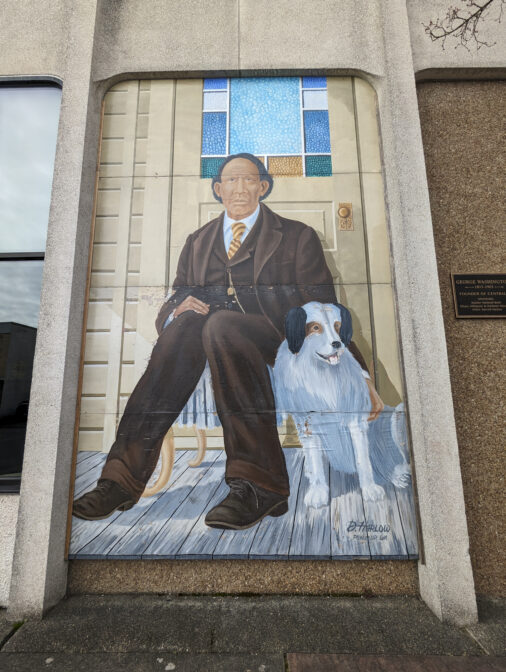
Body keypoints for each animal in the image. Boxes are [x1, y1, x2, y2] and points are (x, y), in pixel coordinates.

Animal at [272, 302, 412, 506]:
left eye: (338, 326)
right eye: (315, 327)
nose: (337, 344)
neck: (320, 373)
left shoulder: (356, 421)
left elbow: (363, 460)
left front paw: (369, 489)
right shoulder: (306, 423)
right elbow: (314, 460)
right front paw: (318, 491)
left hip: (398, 417)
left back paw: (397, 475)